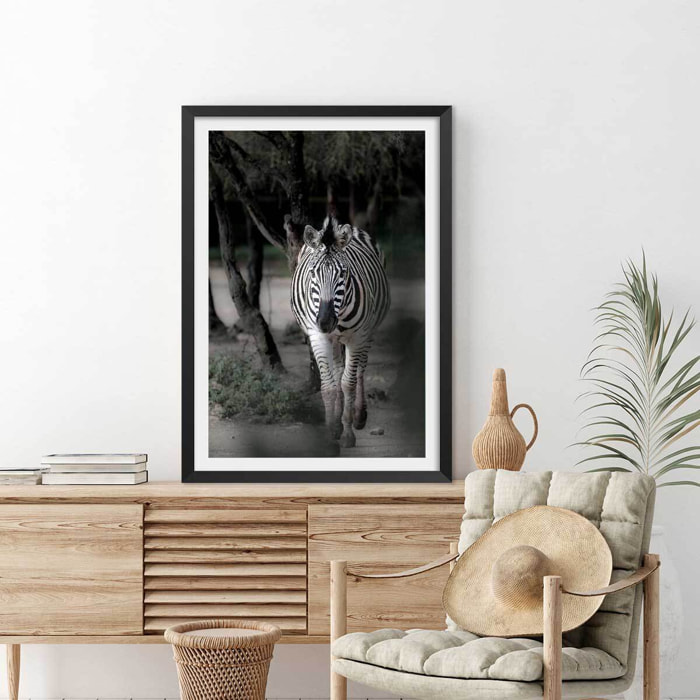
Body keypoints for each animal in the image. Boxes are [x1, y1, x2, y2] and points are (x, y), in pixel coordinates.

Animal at [291, 216, 390, 448]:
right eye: (313, 273)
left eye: (343, 274)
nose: (326, 321)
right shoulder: (318, 336)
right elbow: (329, 386)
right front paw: (332, 431)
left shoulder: (357, 337)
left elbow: (348, 383)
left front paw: (347, 433)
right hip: (334, 339)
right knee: (337, 370)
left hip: (368, 332)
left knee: (360, 369)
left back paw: (359, 416)